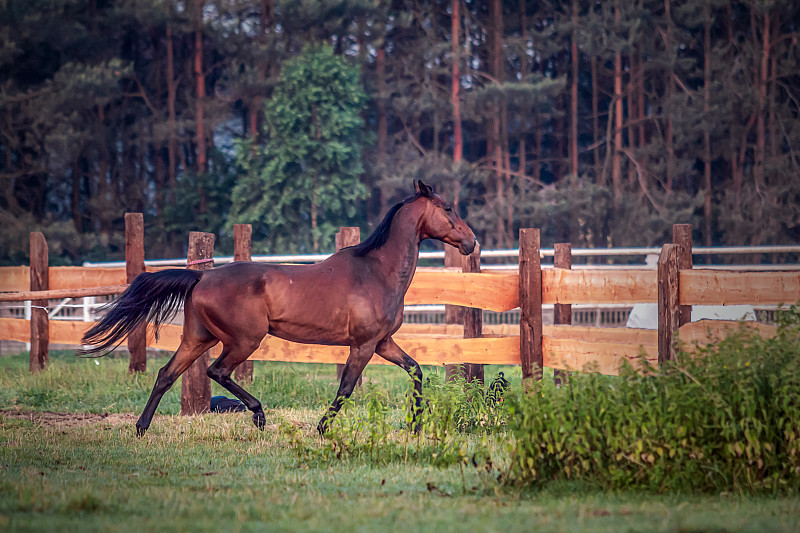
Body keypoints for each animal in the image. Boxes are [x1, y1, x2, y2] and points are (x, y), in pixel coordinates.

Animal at [81, 181, 478, 434]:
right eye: (447, 208)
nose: (472, 242)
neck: (376, 271)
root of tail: (201, 276)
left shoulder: (382, 343)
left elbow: (416, 371)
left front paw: (416, 424)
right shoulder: (363, 345)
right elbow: (346, 389)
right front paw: (321, 428)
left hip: (198, 338)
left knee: (166, 374)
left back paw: (141, 427)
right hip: (243, 340)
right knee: (217, 371)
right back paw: (258, 416)